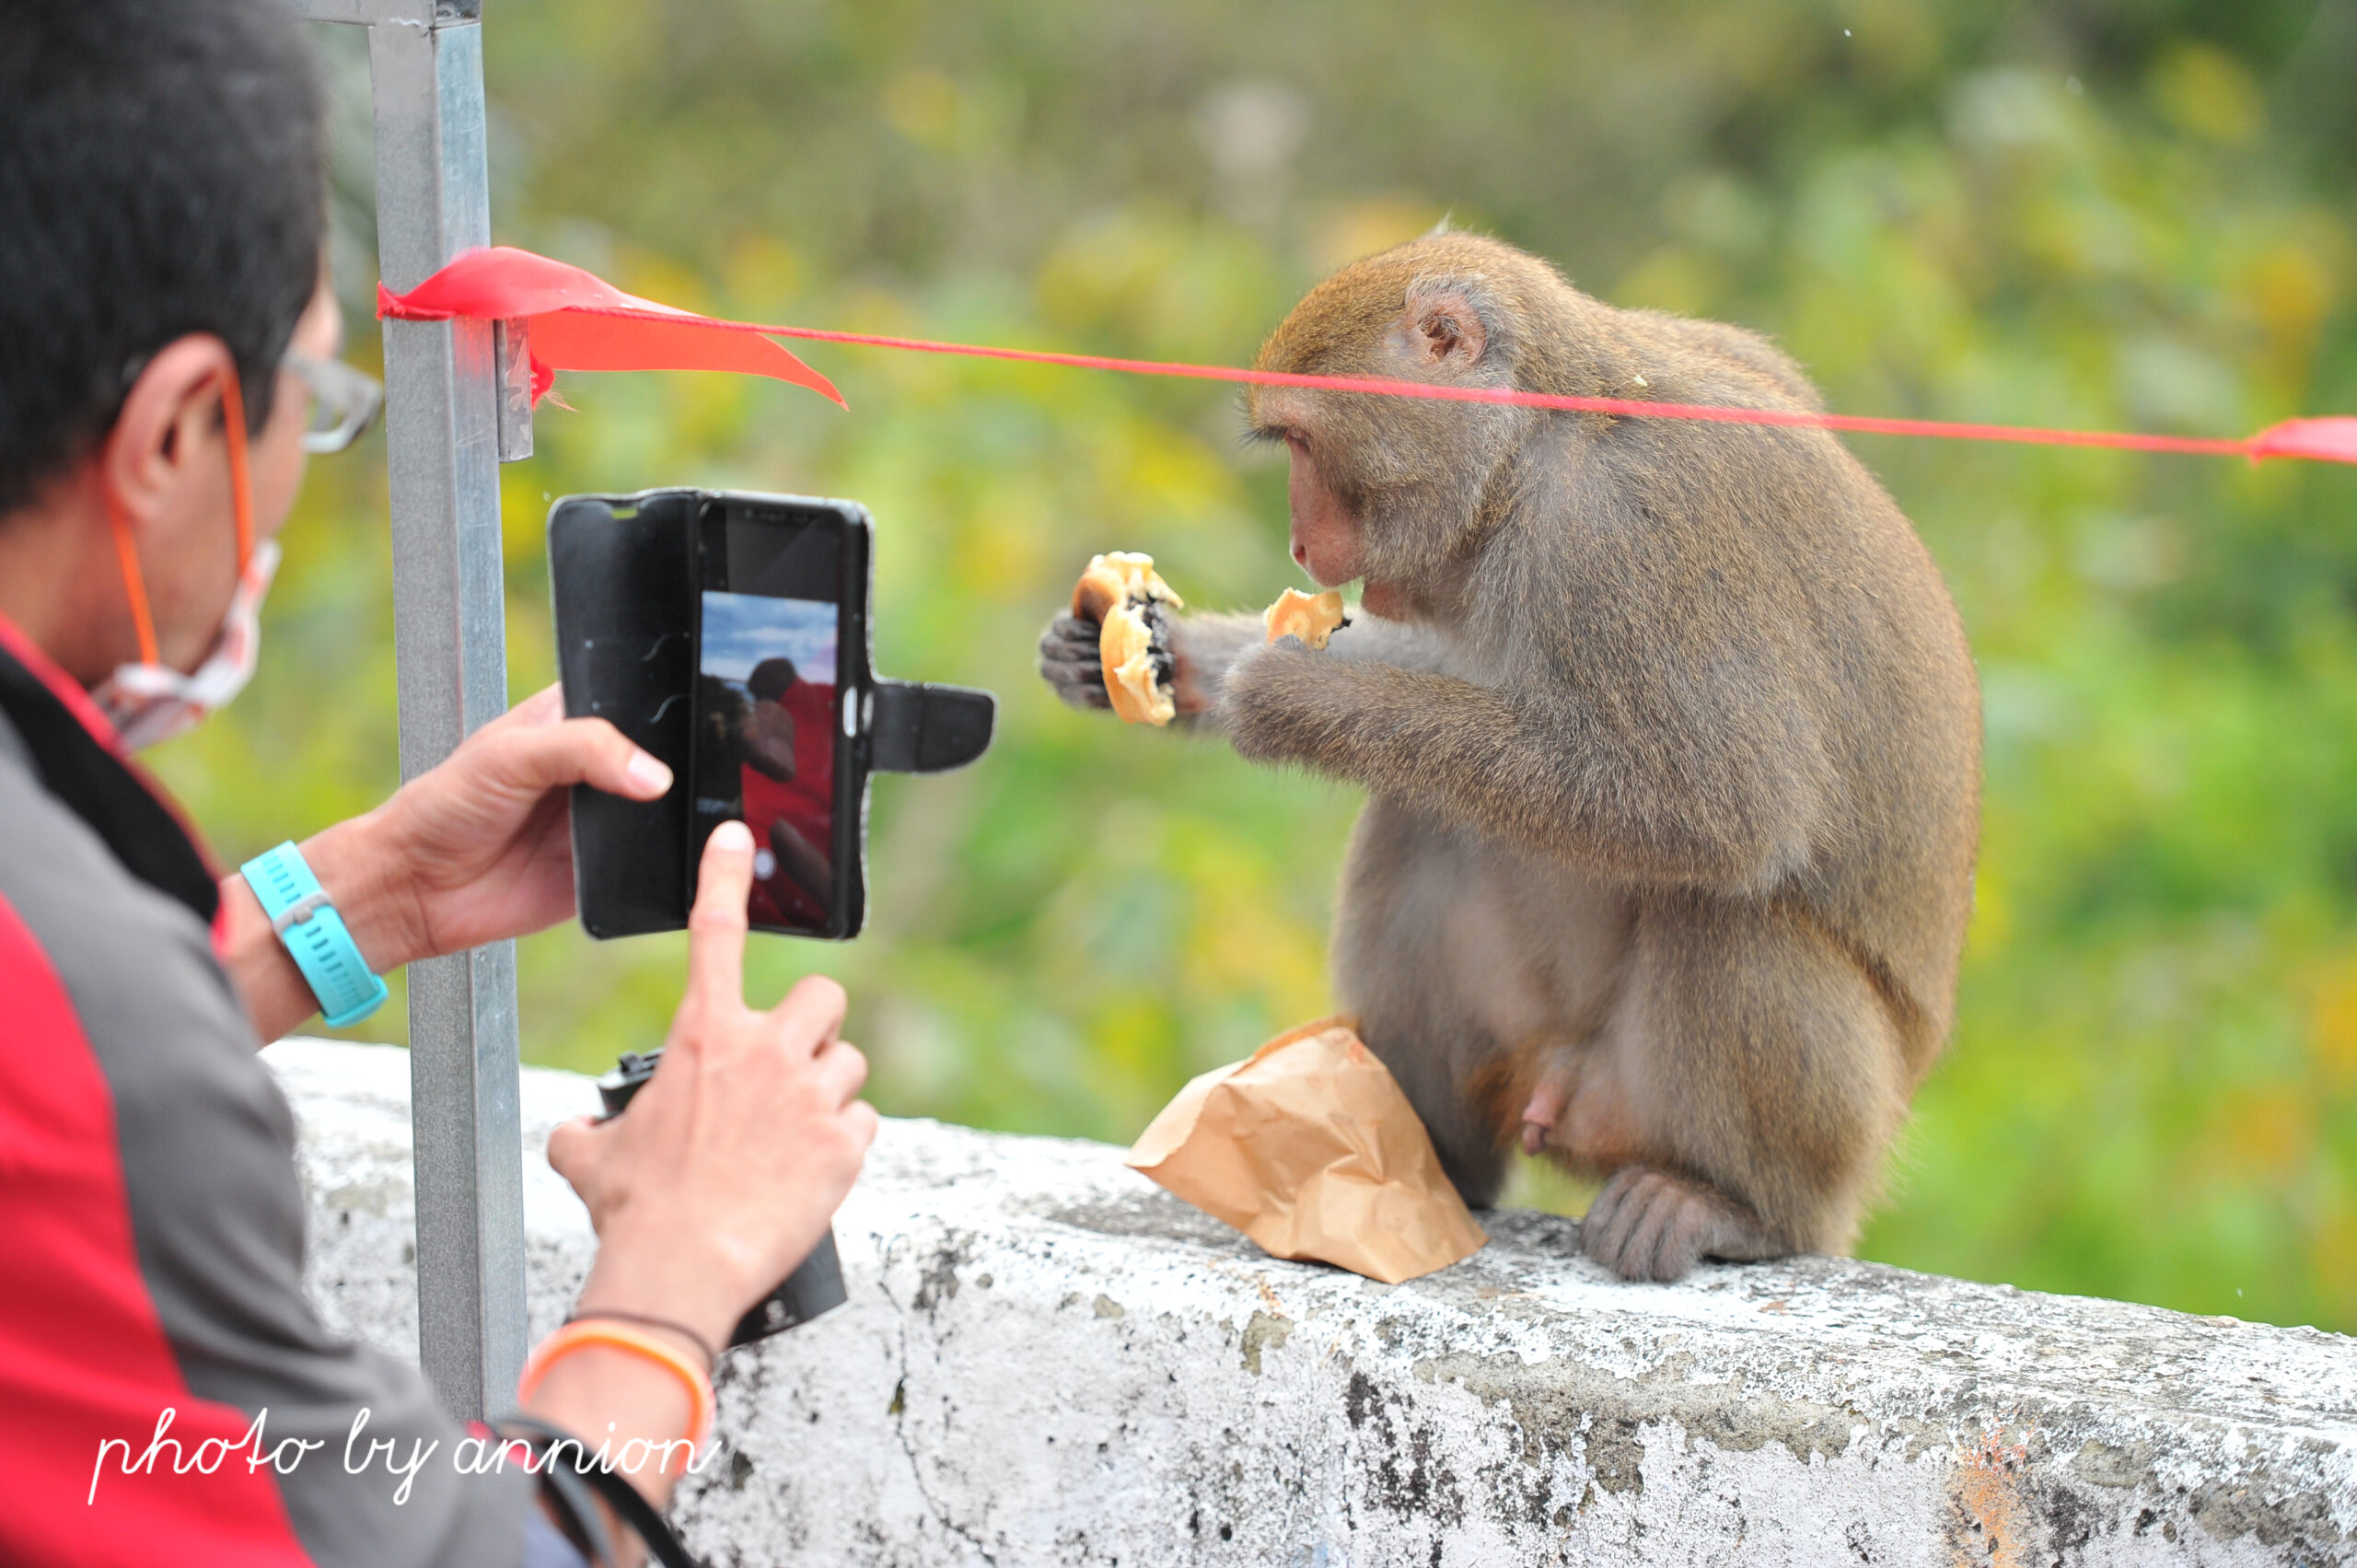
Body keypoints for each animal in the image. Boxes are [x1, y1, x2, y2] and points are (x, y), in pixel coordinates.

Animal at [1041, 236, 1980, 1283]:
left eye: (1300, 442)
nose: (1298, 543)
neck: (1535, 447)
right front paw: (1174, 657)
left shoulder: (1628, 531)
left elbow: (1722, 807)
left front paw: (1286, 700)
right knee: (1423, 817)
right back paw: (1430, 1160)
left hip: (1793, 1128)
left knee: (1730, 915)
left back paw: (1736, 1208)